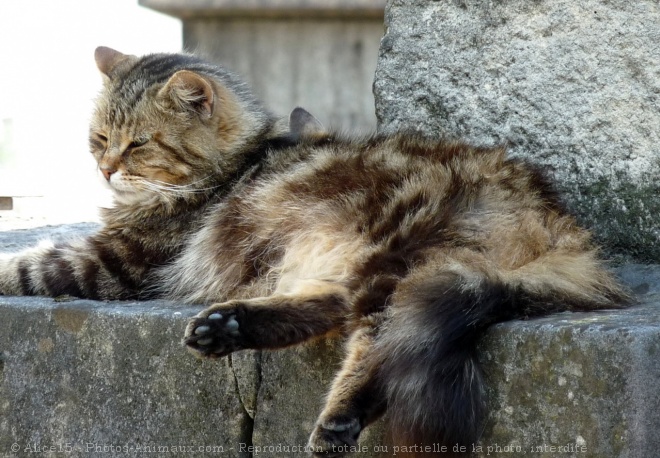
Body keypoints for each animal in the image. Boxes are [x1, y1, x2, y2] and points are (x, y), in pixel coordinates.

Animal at [0, 48, 628, 456]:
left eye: (137, 145)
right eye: (99, 139)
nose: (106, 169)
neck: (239, 163)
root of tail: (558, 221)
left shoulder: (115, 260)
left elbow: (26, 265)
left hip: (397, 262)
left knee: (374, 342)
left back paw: (335, 423)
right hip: (352, 262)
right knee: (331, 307)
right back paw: (224, 329)